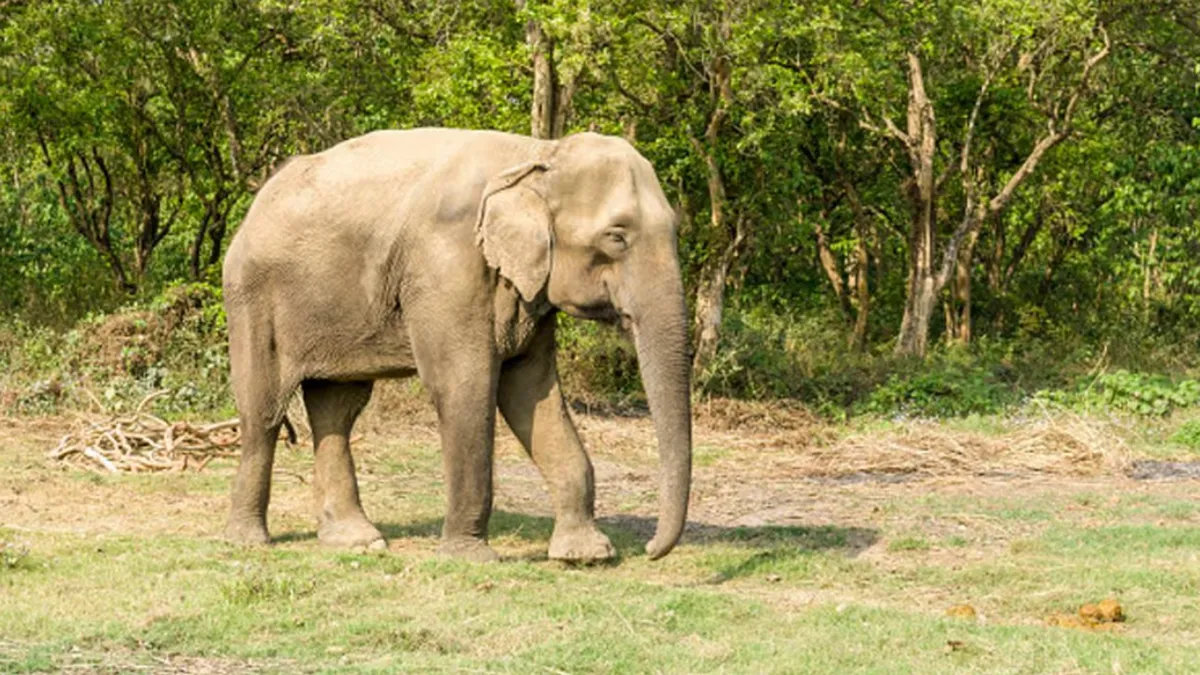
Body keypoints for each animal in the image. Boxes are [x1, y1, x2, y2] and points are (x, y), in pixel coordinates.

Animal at [221, 128, 692, 563]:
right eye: (617, 236)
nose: (650, 548)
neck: (536, 153)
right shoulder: (446, 267)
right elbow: (465, 386)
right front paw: (470, 558)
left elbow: (531, 392)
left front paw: (585, 555)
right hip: (253, 297)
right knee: (264, 408)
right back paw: (248, 540)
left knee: (338, 408)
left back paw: (358, 541)